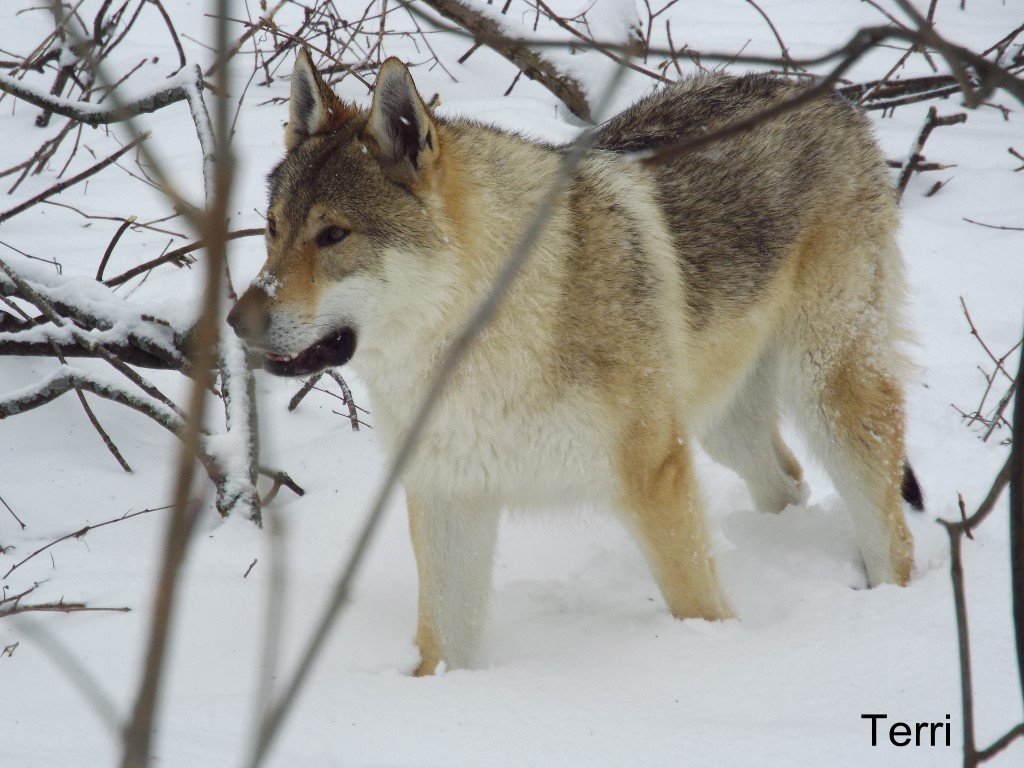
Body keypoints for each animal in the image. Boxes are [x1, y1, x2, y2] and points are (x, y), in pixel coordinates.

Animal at [230, 51, 921, 675]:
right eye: (272, 228)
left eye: (333, 235)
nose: (237, 323)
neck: (483, 339)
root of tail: (828, 93)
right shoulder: (447, 495)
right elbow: (440, 649)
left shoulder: (653, 481)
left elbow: (700, 607)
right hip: (720, 427)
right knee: (788, 479)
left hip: (825, 394)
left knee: (894, 535)